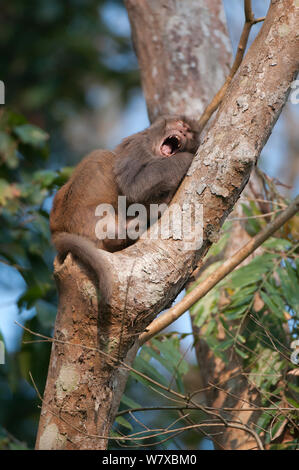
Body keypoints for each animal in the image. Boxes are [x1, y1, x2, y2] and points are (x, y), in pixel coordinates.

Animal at [50, 115, 200, 294]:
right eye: (181, 124)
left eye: (190, 133)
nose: (183, 131)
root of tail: (57, 230)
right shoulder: (138, 147)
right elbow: (134, 186)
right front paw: (187, 158)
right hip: (85, 217)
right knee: (102, 156)